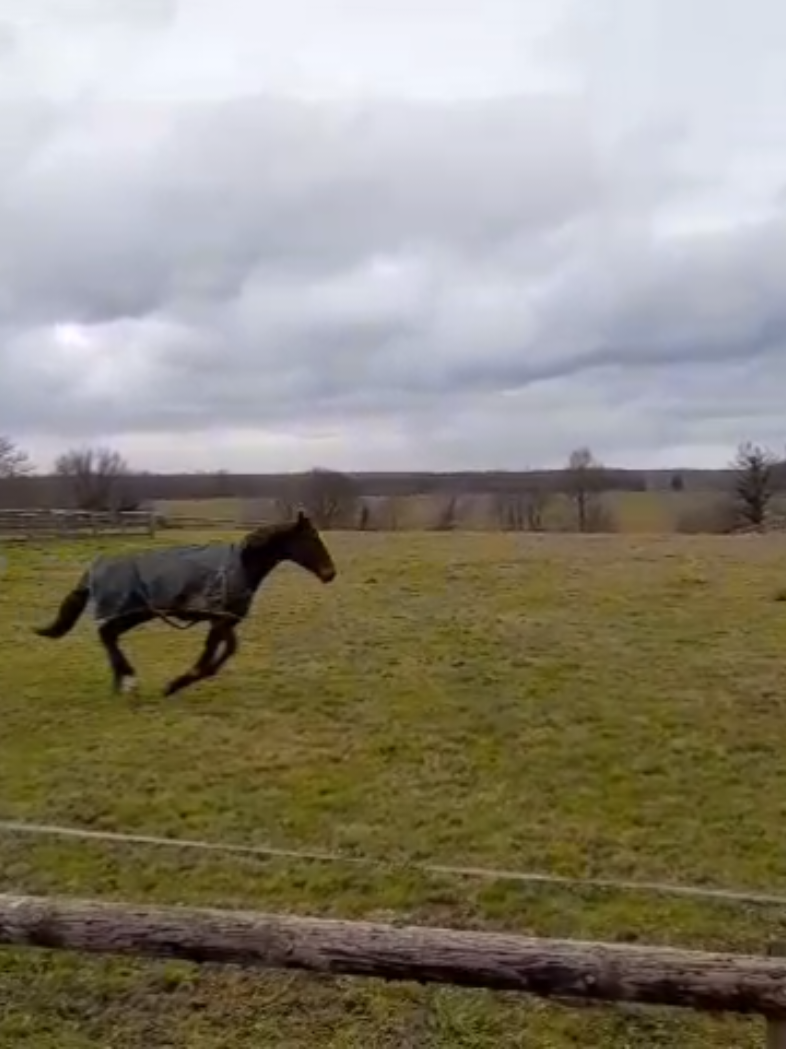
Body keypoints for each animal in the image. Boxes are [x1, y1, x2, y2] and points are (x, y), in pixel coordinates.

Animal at [33, 510, 336, 697]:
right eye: (311, 538)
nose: (330, 574)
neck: (239, 567)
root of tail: (93, 569)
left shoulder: (223, 620)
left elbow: (223, 653)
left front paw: (182, 681)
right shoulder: (220, 620)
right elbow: (212, 656)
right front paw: (174, 685)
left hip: (137, 614)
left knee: (109, 636)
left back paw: (121, 683)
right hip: (129, 612)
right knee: (107, 634)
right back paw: (128, 681)